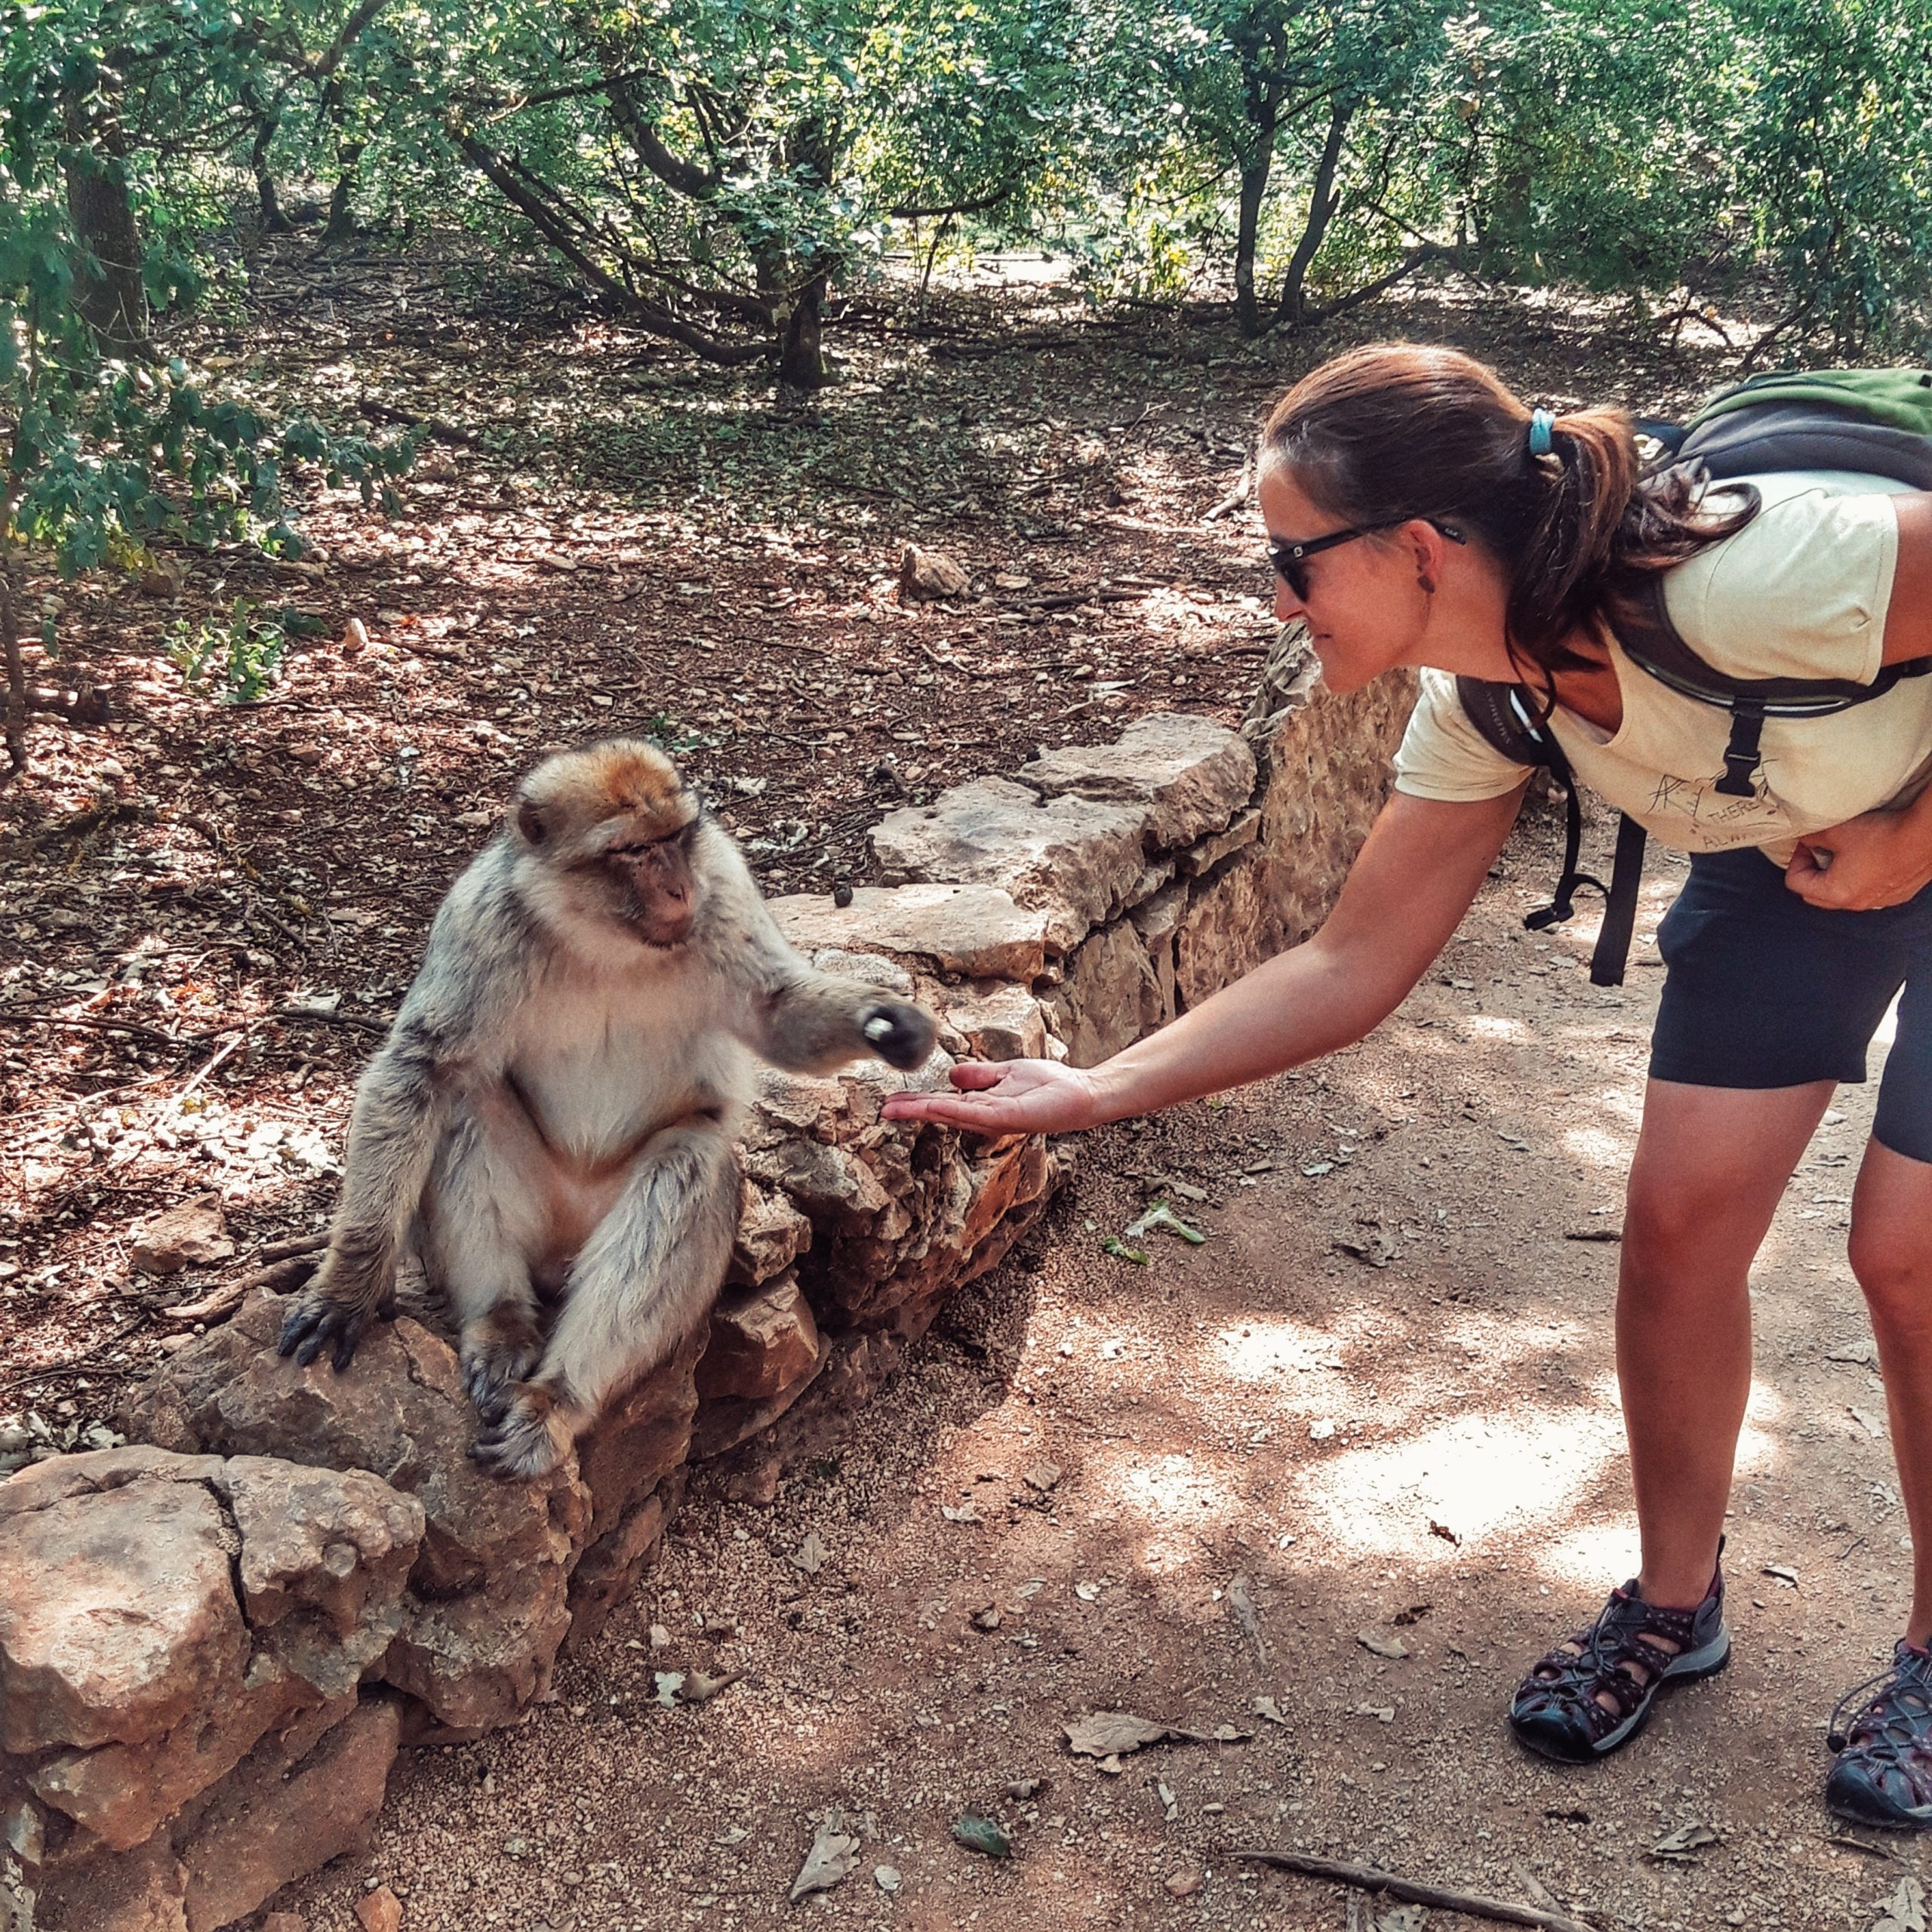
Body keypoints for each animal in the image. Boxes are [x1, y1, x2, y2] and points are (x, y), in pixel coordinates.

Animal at [280, 737, 935, 1475]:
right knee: (465, 1102)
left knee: (688, 1160)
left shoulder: (723, 883)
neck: (603, 937)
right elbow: (423, 1068)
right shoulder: (481, 922)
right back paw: (500, 1324)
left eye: (676, 839)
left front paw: (891, 1024)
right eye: (633, 851)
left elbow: (774, 1012)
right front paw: (349, 1285)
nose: (680, 889)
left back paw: (554, 1402)